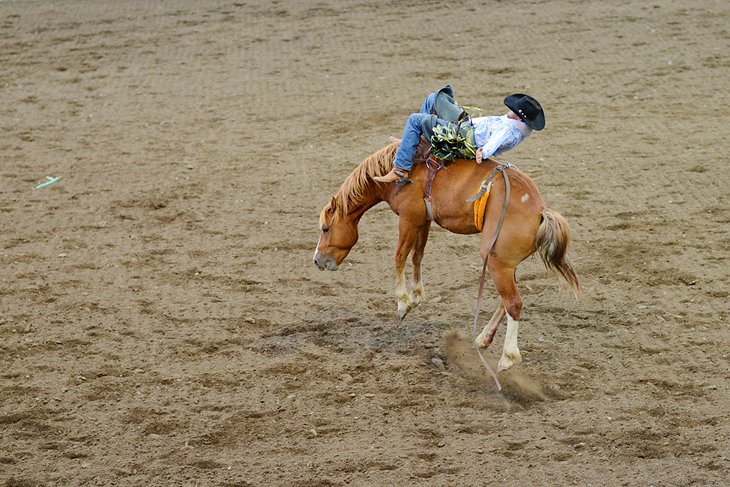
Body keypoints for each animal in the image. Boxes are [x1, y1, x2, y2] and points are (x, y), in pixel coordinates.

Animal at [310, 141, 576, 374]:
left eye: (325, 228)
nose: (317, 261)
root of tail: (541, 211)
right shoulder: (423, 219)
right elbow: (417, 255)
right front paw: (417, 295)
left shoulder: (409, 218)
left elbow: (399, 257)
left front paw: (403, 303)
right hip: (503, 264)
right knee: (507, 300)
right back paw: (482, 339)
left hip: (496, 261)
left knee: (513, 303)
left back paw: (507, 358)